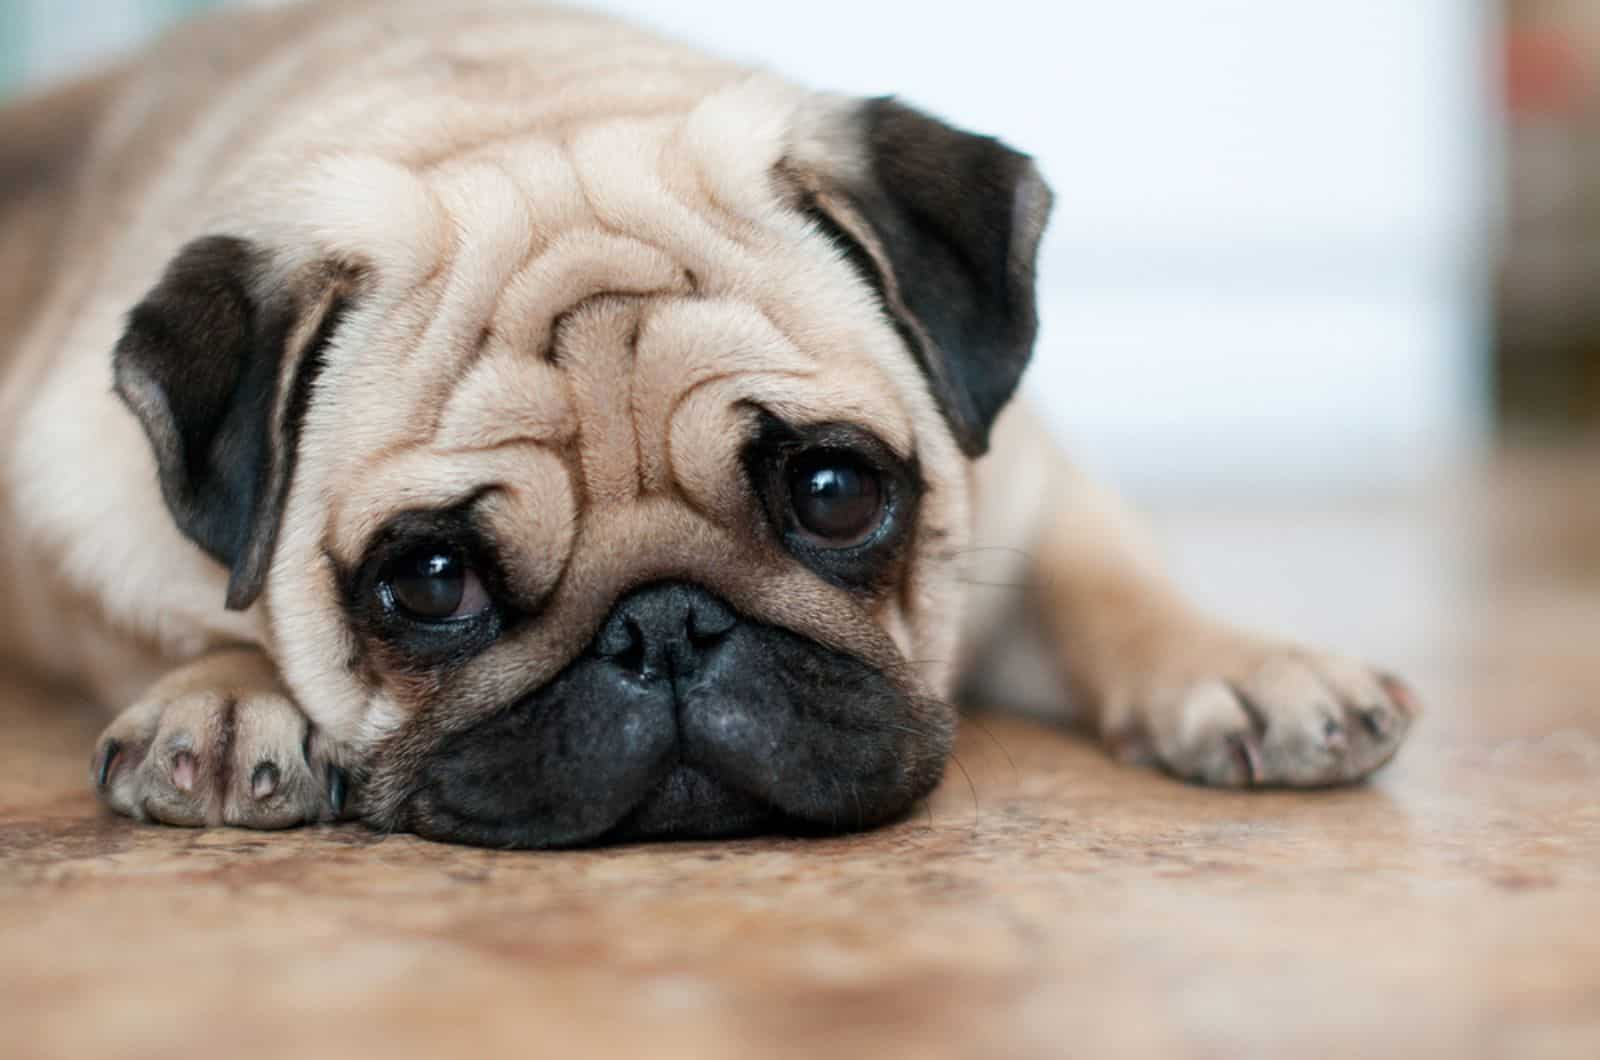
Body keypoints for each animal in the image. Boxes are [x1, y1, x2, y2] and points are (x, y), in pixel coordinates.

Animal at [0, 0, 1414, 845]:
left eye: (836, 493)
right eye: (434, 578)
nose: (663, 625)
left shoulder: (1025, 478)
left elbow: (1103, 580)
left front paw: (1240, 664)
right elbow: (191, 610)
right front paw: (229, 694)